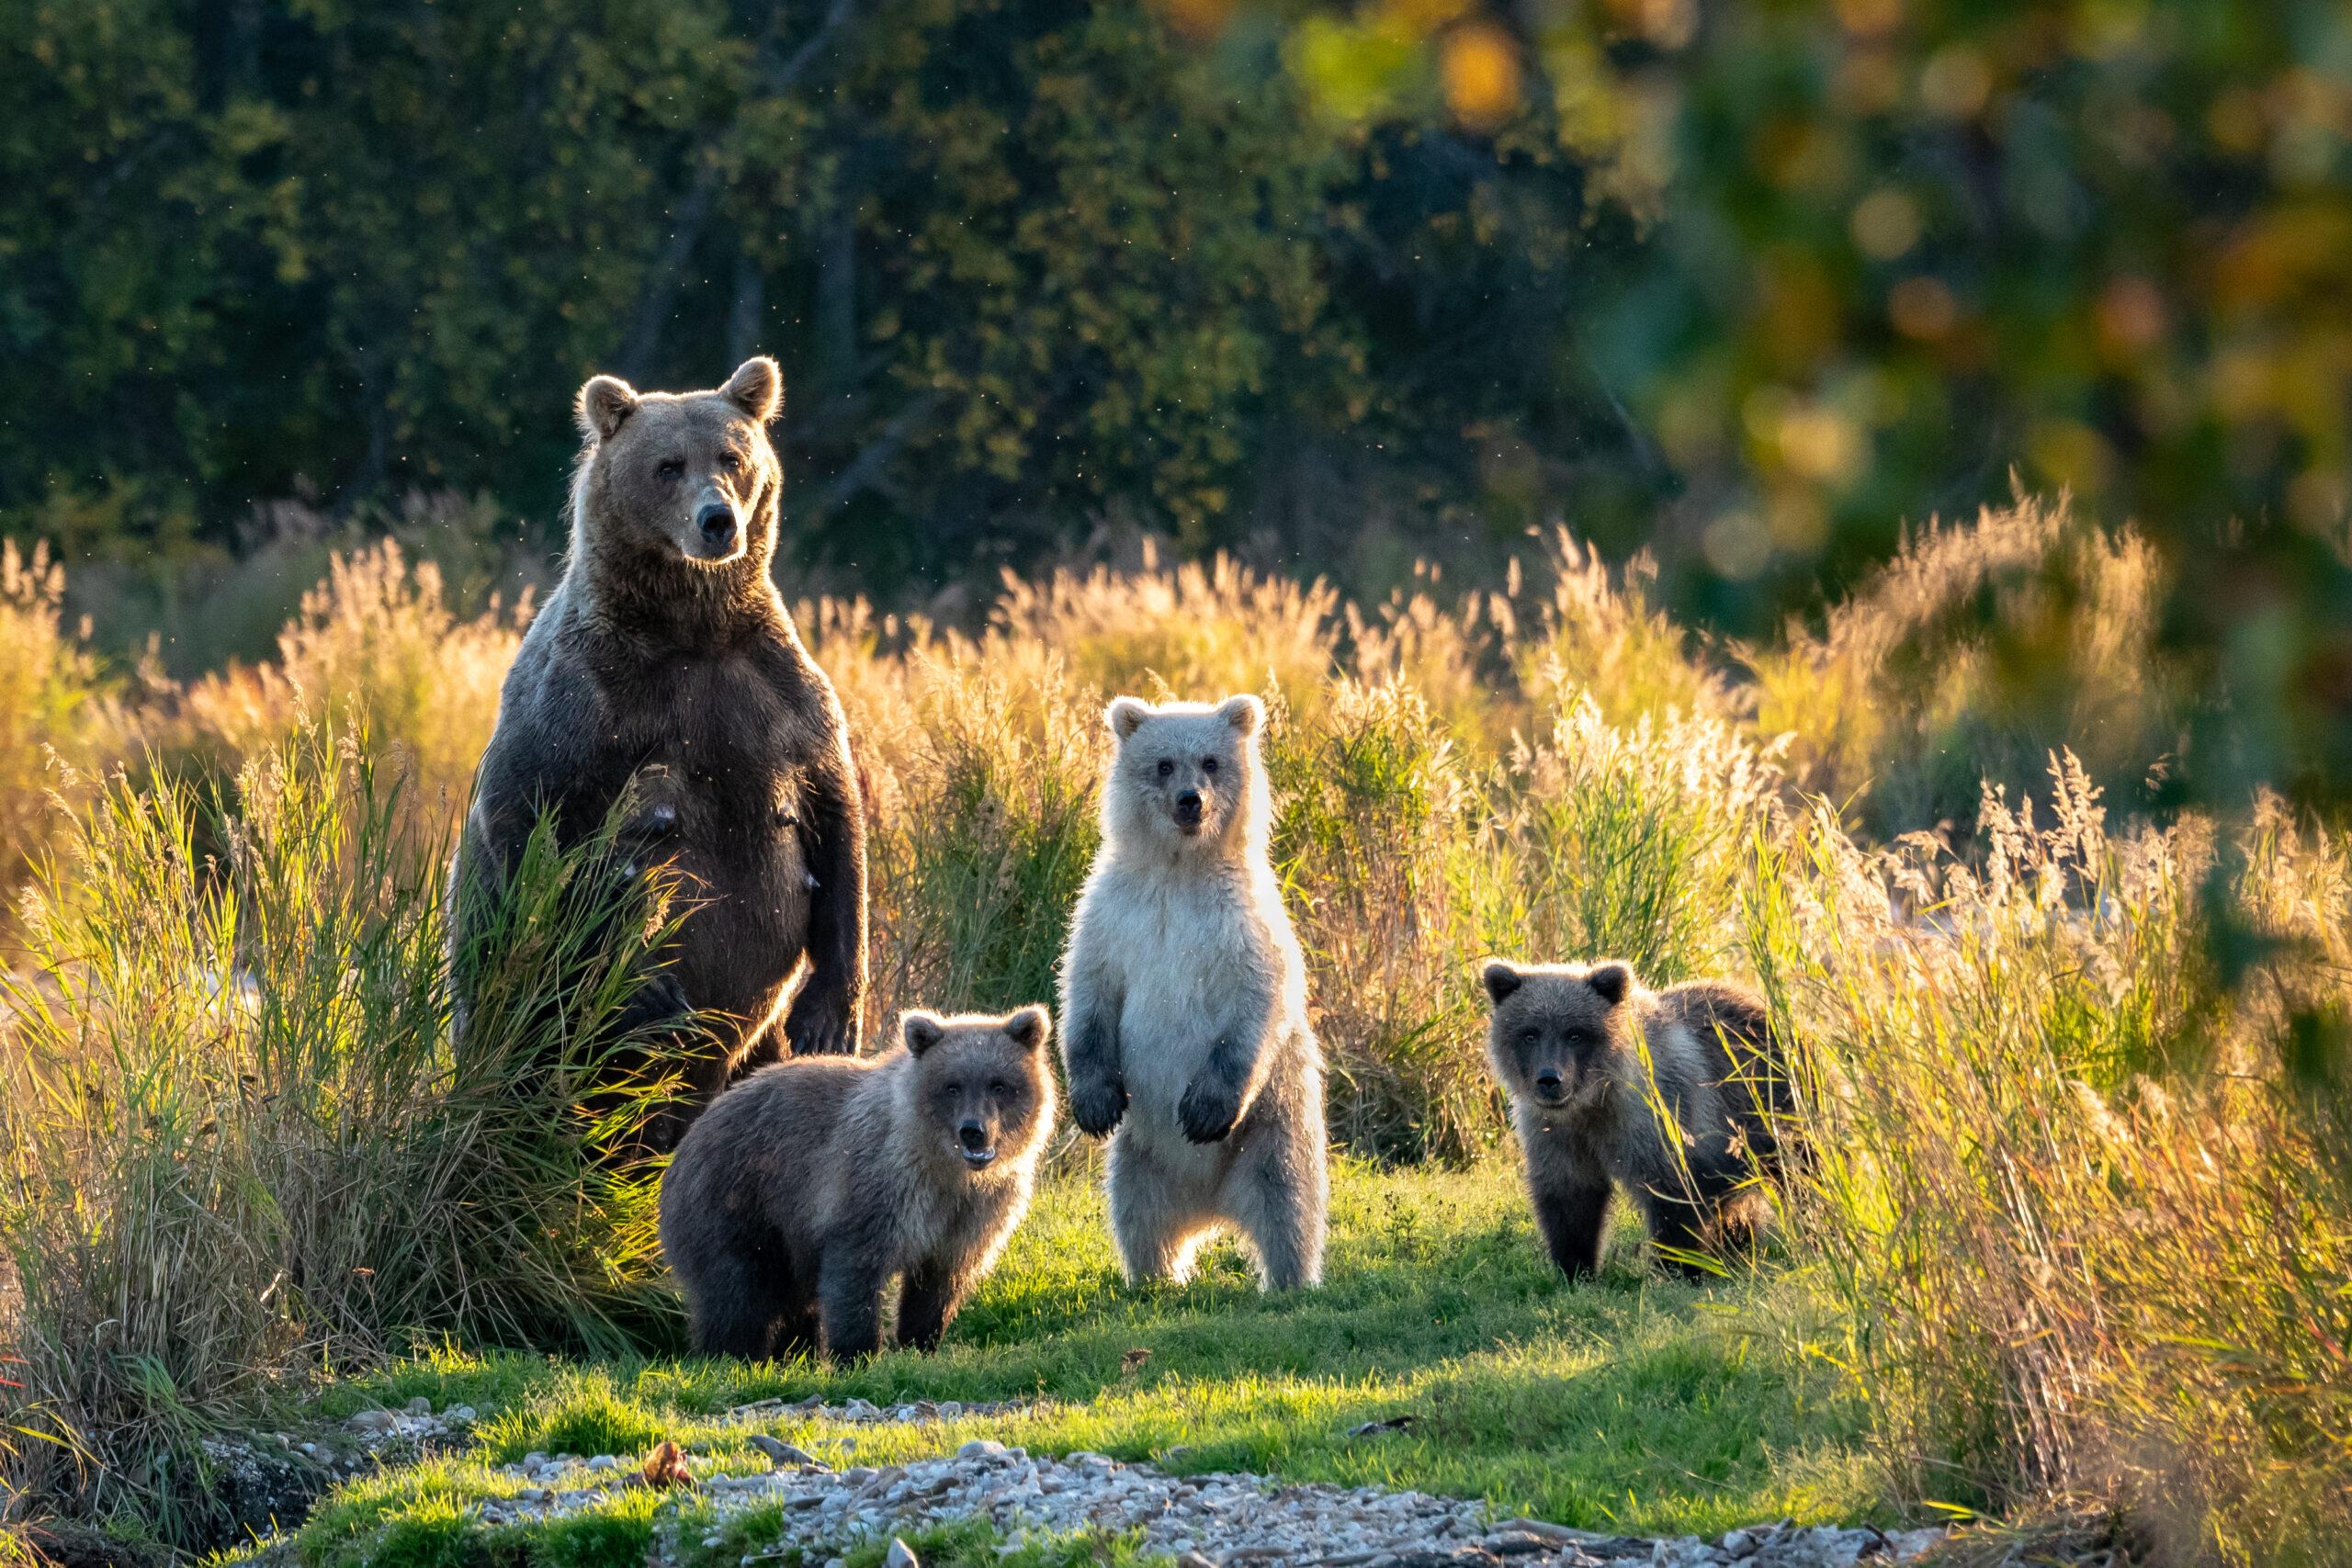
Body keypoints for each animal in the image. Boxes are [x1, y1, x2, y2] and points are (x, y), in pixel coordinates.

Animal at [452, 356, 868, 1137]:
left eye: (731, 457)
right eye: (667, 465)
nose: (718, 520)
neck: (691, 629)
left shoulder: (776, 693)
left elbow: (838, 822)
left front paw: (829, 1013)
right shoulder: (585, 700)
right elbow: (531, 819)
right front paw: (643, 989)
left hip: (754, 1050)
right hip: (516, 1014)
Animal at [658, 1004, 1056, 1360]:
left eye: (999, 1085)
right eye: (952, 1086)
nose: (974, 1131)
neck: (945, 1168)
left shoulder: (972, 1213)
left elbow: (939, 1283)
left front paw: (921, 1342)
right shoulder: (879, 1186)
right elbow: (855, 1270)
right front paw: (858, 1353)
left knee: (790, 1297)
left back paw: (794, 1352)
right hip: (736, 1199)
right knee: (737, 1290)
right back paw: (734, 1355)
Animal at [1058, 693, 1328, 1291]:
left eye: (1209, 761)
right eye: (1163, 764)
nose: (1190, 801)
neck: (1180, 871)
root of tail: (1211, 1209)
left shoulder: (1243, 923)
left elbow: (1257, 1002)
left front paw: (1202, 1110)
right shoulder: (1113, 915)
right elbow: (1087, 994)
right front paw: (1094, 1102)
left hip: (1272, 1127)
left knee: (1289, 1202)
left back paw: (1288, 1280)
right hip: (1141, 1156)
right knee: (1137, 1213)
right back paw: (1157, 1276)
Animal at [1480, 958, 1793, 1279]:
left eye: (1575, 1034)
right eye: (1529, 1033)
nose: (1549, 1079)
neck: (1593, 1102)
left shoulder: (1656, 1117)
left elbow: (1672, 1193)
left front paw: (1678, 1267)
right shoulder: (1554, 1131)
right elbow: (1570, 1196)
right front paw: (1575, 1268)